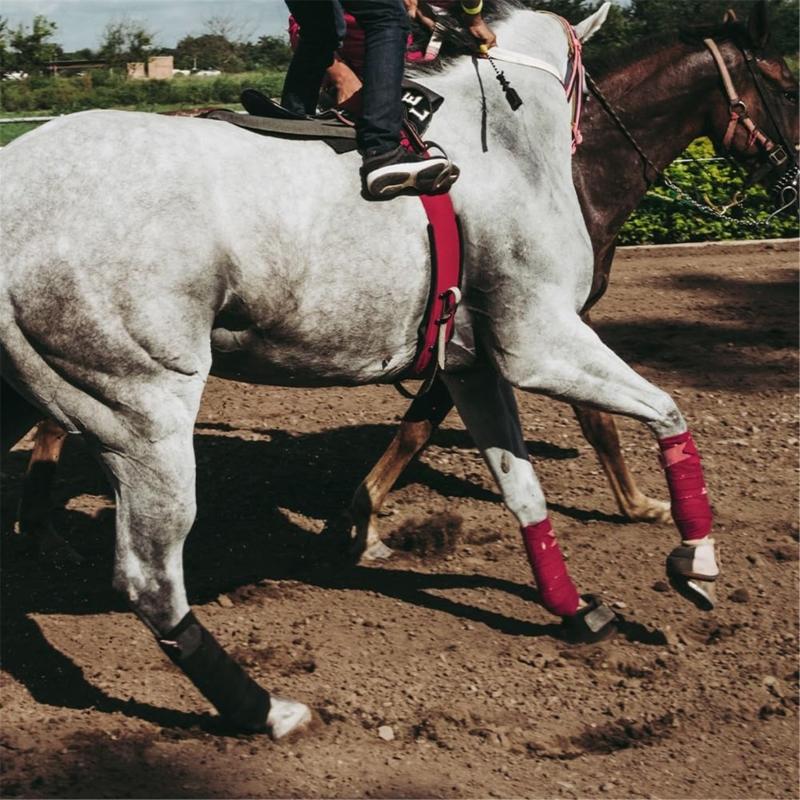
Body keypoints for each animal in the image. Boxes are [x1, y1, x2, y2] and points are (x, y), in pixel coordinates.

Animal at [347, 2, 800, 561]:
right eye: (788, 90)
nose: (796, 179)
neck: (574, 172)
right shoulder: (536, 320)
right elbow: (591, 420)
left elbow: (426, 421)